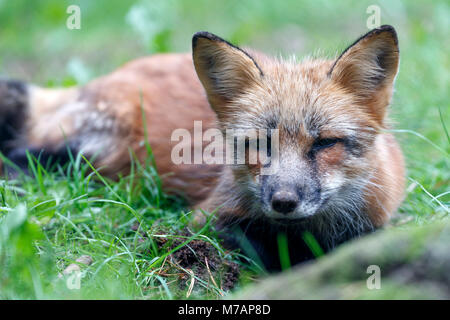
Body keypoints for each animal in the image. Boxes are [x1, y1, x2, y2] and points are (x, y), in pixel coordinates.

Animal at [0, 25, 406, 270]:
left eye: (324, 143)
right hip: (87, 154)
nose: (284, 202)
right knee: (22, 159)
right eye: (260, 144)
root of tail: (111, 75)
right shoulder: (208, 218)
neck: (308, 230)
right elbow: (256, 249)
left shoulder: (375, 221)